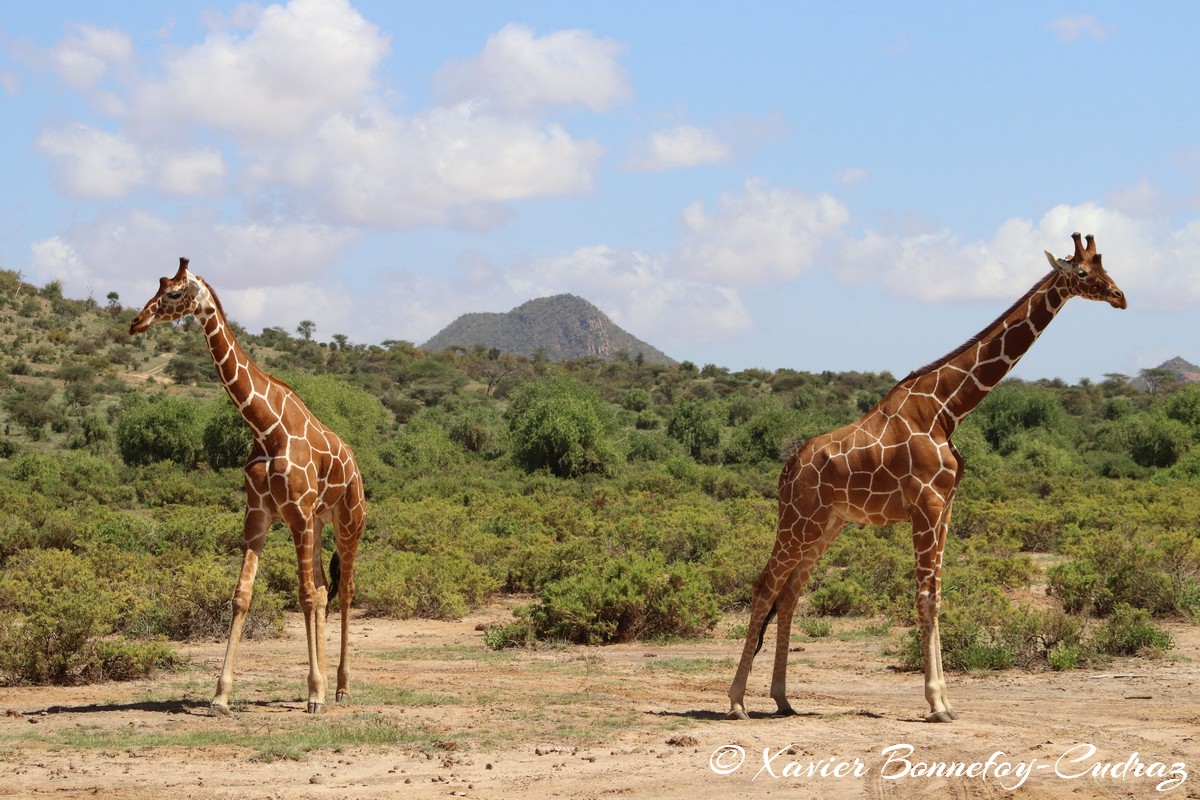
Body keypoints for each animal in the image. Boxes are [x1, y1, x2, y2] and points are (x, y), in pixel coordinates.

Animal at [130, 258, 365, 716]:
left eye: (173, 293)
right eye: (159, 286)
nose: (136, 321)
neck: (265, 425)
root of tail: (356, 466)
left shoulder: (295, 513)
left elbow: (303, 596)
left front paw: (314, 694)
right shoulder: (260, 513)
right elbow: (243, 595)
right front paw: (220, 695)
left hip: (348, 521)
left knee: (344, 592)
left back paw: (341, 688)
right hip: (317, 521)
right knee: (325, 590)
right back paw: (329, 683)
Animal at [727, 233, 1126, 722]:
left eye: (1107, 269)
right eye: (1084, 273)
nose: (1120, 296)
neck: (947, 410)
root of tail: (787, 470)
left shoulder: (947, 506)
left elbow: (938, 593)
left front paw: (947, 701)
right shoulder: (927, 504)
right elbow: (926, 597)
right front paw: (936, 703)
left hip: (826, 524)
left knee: (789, 593)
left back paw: (783, 699)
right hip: (798, 520)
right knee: (765, 586)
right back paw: (737, 702)